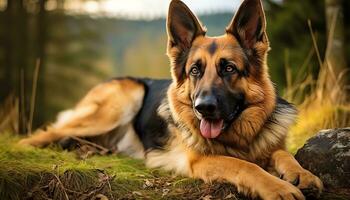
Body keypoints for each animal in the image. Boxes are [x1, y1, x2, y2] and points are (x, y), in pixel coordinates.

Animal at [19, 0, 322, 199]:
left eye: (229, 68)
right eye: (195, 71)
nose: (203, 108)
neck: (239, 138)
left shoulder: (270, 145)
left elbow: (282, 152)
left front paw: (302, 174)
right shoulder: (200, 160)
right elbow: (244, 165)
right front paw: (278, 187)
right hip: (119, 104)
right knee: (44, 134)